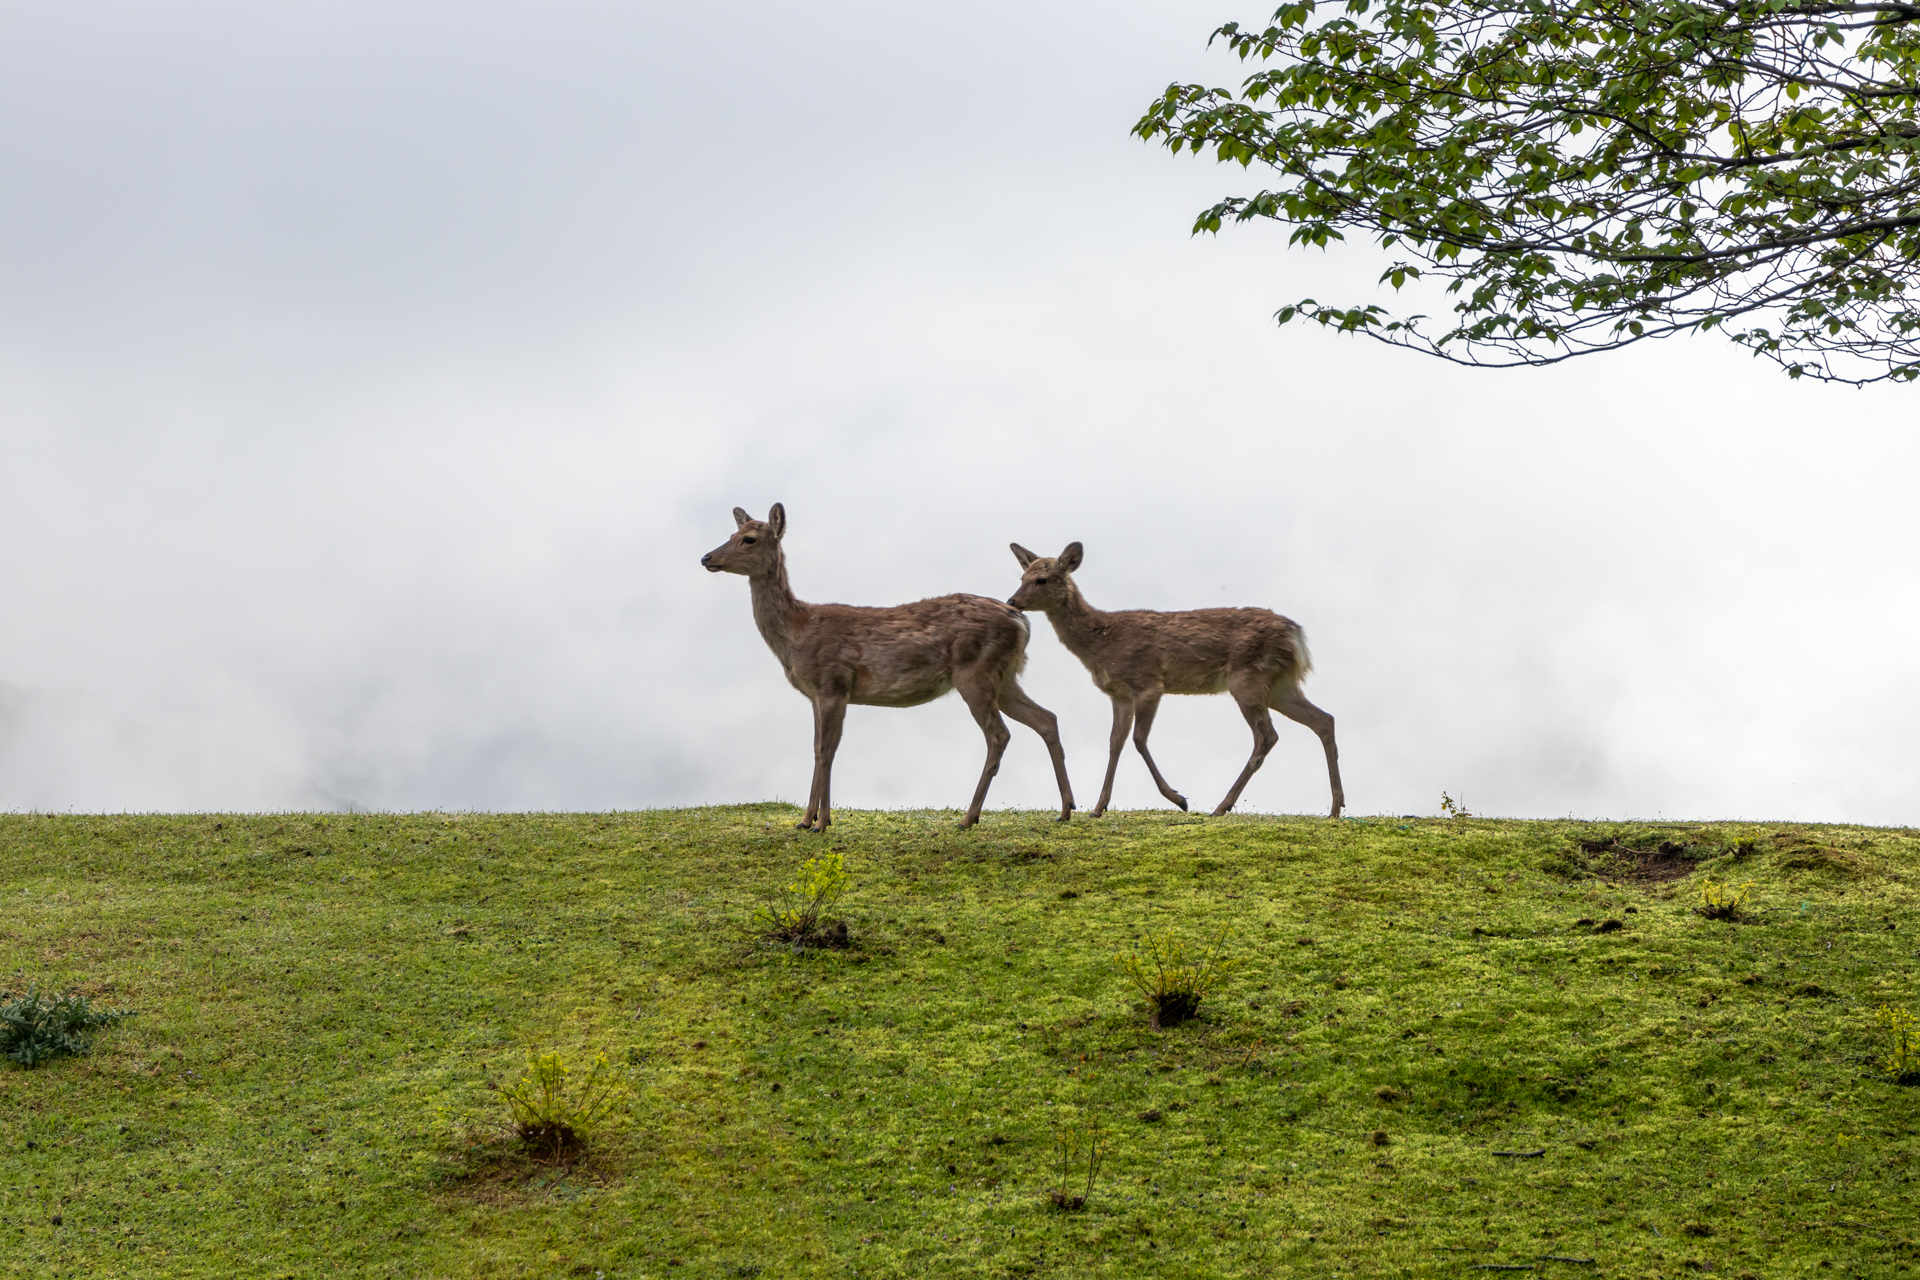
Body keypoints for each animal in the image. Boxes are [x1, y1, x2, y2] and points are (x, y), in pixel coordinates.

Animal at [702, 503, 1075, 832]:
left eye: (750, 539)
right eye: (732, 533)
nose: (707, 558)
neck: (797, 632)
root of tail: (1021, 621)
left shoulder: (833, 683)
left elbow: (827, 750)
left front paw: (821, 823)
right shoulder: (815, 694)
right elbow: (815, 748)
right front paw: (805, 820)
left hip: (976, 672)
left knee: (999, 735)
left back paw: (969, 817)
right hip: (1005, 678)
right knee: (1047, 719)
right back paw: (1066, 809)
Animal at [1006, 541, 1343, 820]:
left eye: (1041, 579)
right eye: (1021, 577)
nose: (1012, 601)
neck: (1100, 642)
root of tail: (1296, 634)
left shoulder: (1148, 683)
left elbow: (1139, 740)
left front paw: (1179, 798)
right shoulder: (1119, 694)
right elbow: (1115, 743)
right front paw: (1098, 808)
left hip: (1248, 678)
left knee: (1267, 735)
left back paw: (1221, 806)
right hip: (1280, 686)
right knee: (1324, 720)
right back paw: (1335, 808)